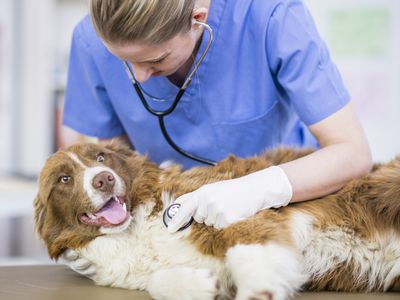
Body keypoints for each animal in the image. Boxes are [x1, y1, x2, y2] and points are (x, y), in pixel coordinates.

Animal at [33, 142, 400, 298]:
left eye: (101, 157)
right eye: (64, 179)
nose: (105, 179)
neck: (133, 228)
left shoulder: (243, 219)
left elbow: (246, 251)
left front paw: (258, 291)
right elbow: (156, 281)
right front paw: (201, 285)